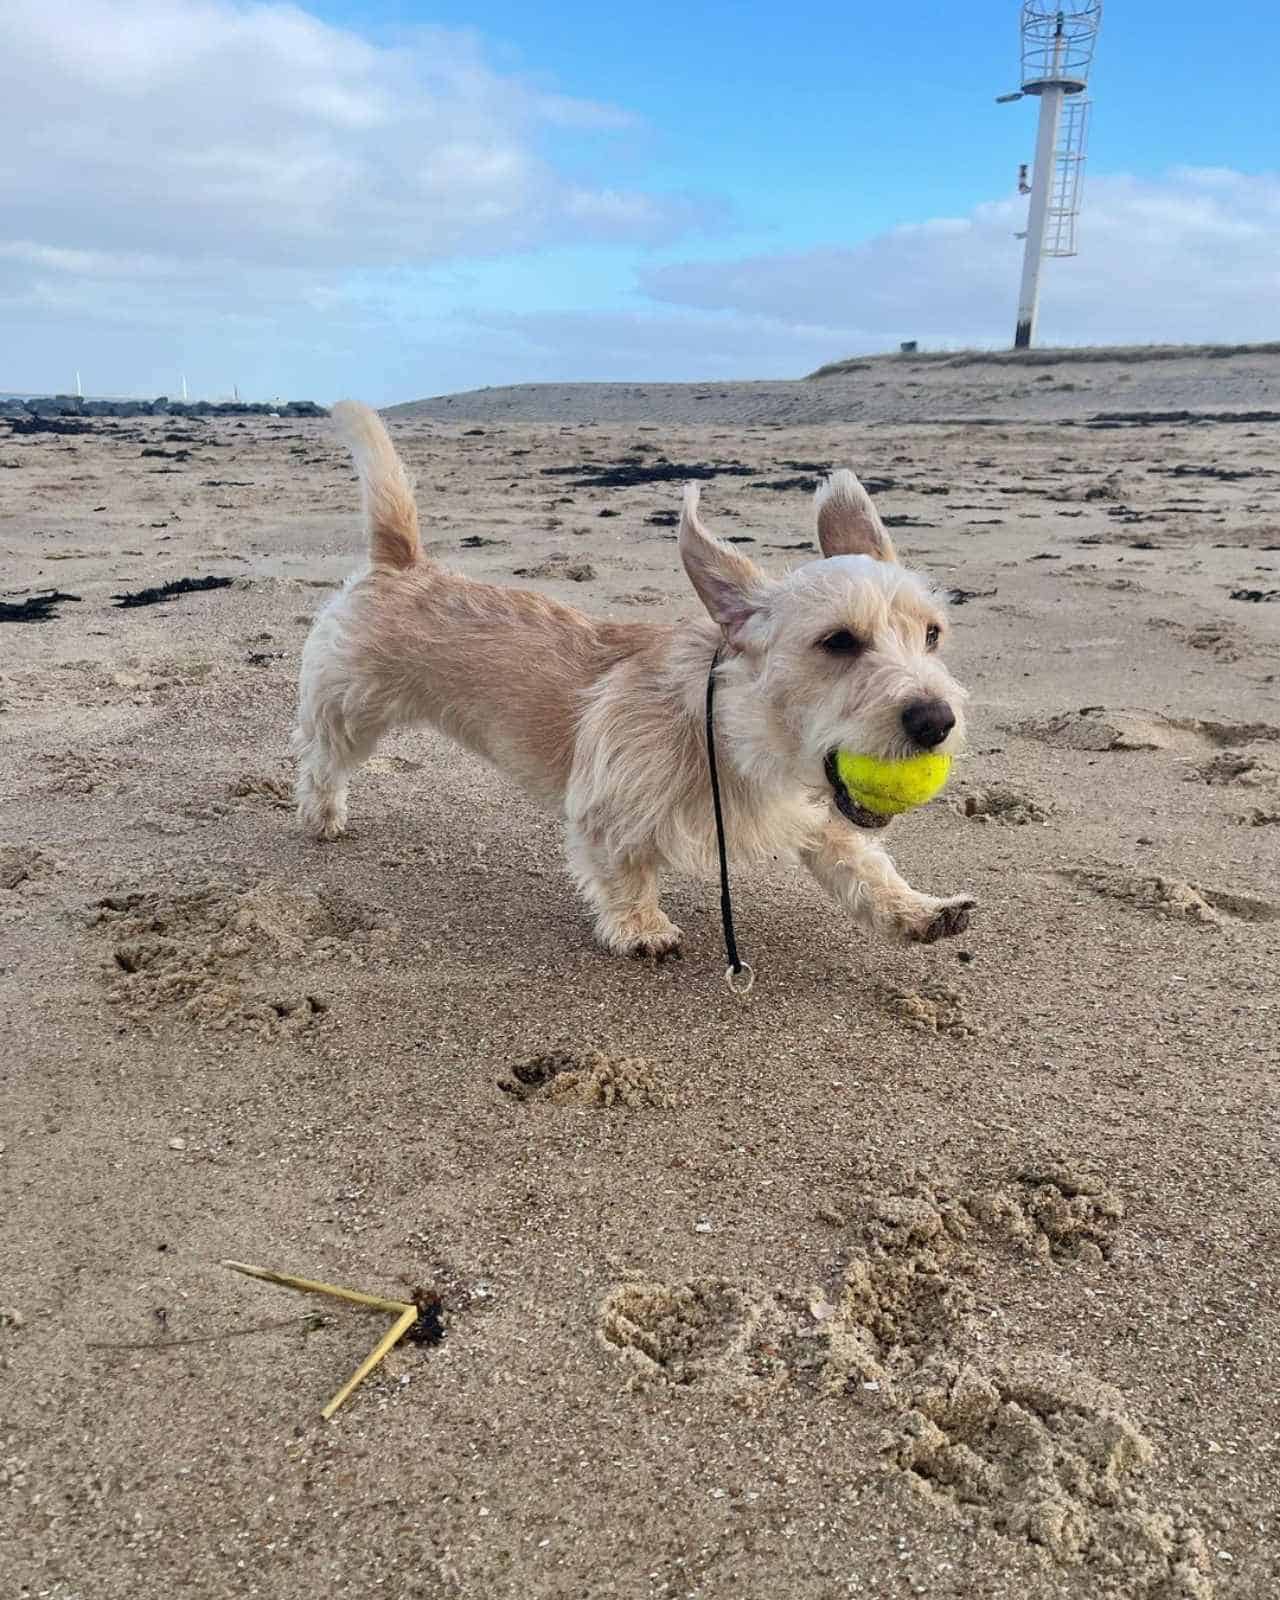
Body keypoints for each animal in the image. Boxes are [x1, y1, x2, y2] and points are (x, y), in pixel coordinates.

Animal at [292, 406, 972, 960]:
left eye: (933, 634)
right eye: (838, 642)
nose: (936, 722)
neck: (733, 735)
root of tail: (403, 562)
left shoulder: (818, 814)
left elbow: (865, 867)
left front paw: (921, 911)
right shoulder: (608, 810)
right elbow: (625, 869)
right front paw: (642, 928)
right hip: (349, 707)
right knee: (322, 760)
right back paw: (322, 815)